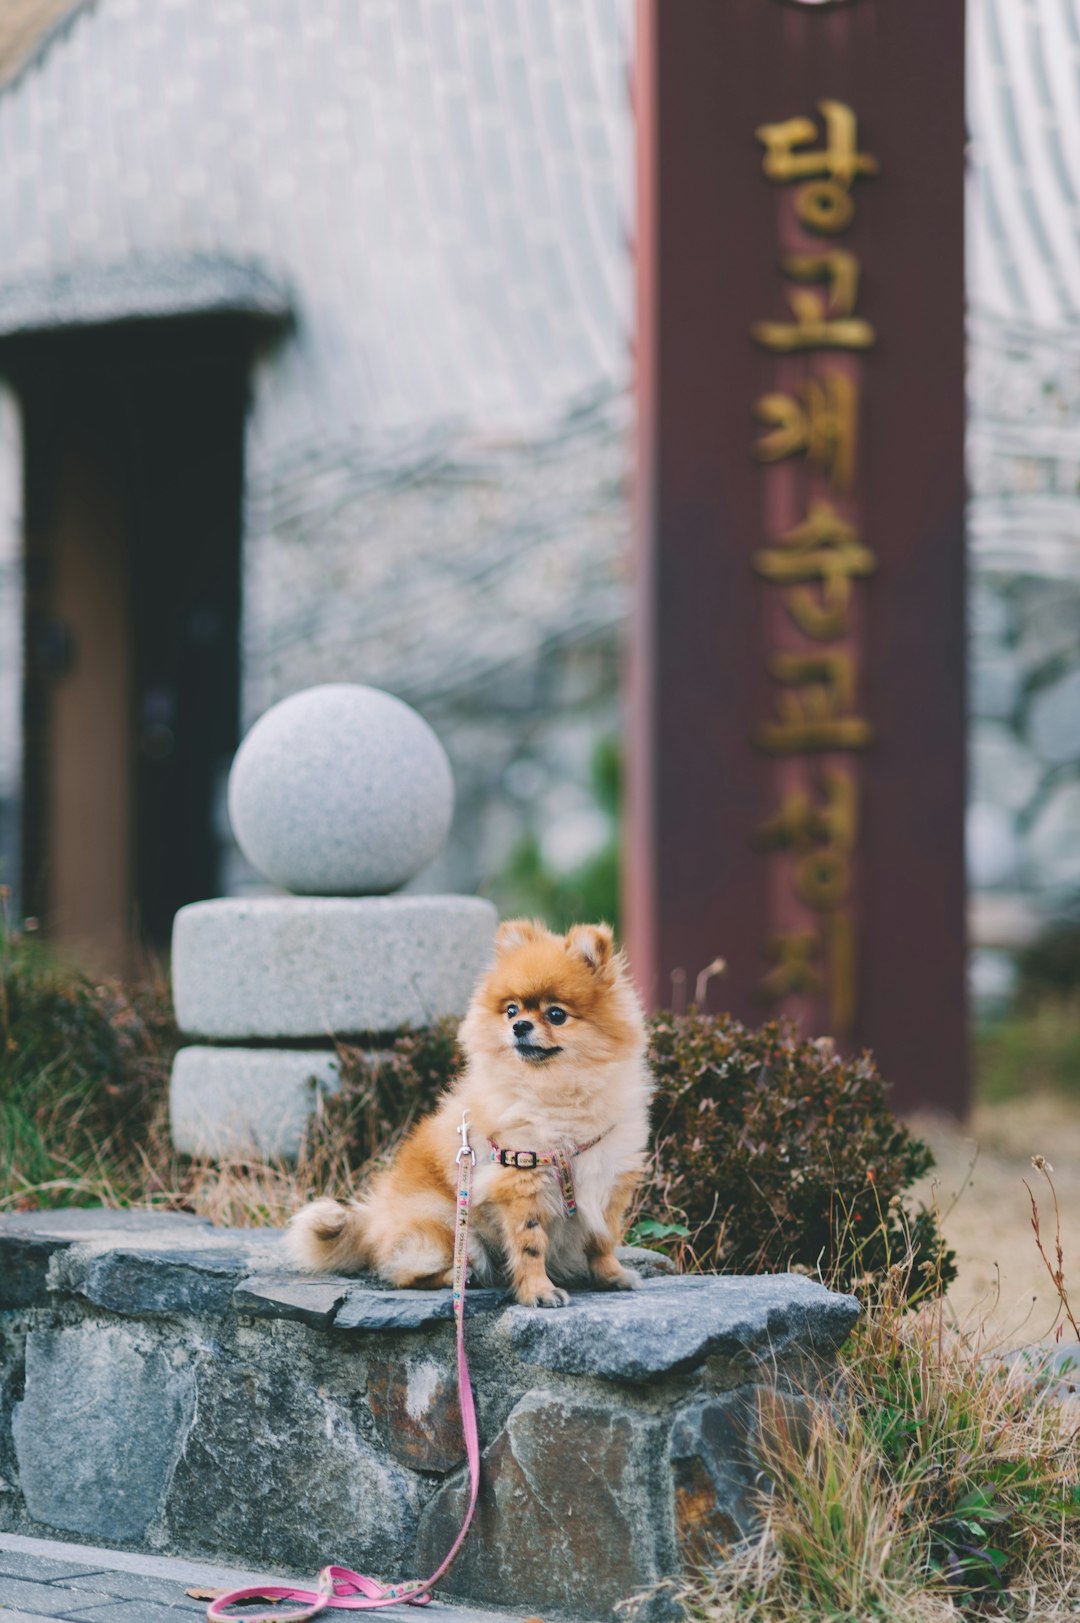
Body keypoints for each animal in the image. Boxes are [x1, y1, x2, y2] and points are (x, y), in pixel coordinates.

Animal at [285, 921, 652, 1311]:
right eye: (511, 1010)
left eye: (556, 1014)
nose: (519, 1026)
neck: (557, 1094)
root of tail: (372, 1224)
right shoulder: (522, 1182)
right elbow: (530, 1247)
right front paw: (539, 1291)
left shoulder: (608, 1180)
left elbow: (603, 1239)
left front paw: (611, 1276)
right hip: (451, 1231)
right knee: (405, 1273)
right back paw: (462, 1278)